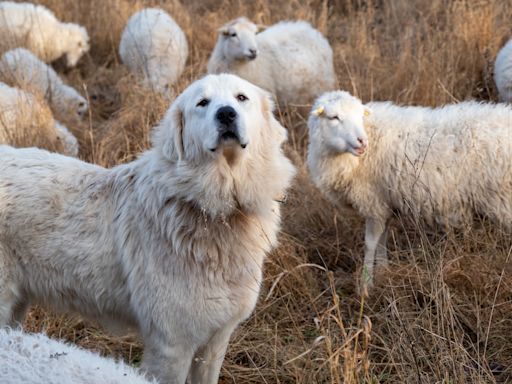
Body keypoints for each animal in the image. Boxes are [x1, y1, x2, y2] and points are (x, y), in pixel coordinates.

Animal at [306, 91, 512, 290]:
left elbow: (370, 244)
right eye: (334, 117)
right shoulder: (383, 203)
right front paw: (384, 272)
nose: (362, 142)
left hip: (503, 199)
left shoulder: (373, 203)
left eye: (360, 116)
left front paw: (365, 286)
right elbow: (382, 239)